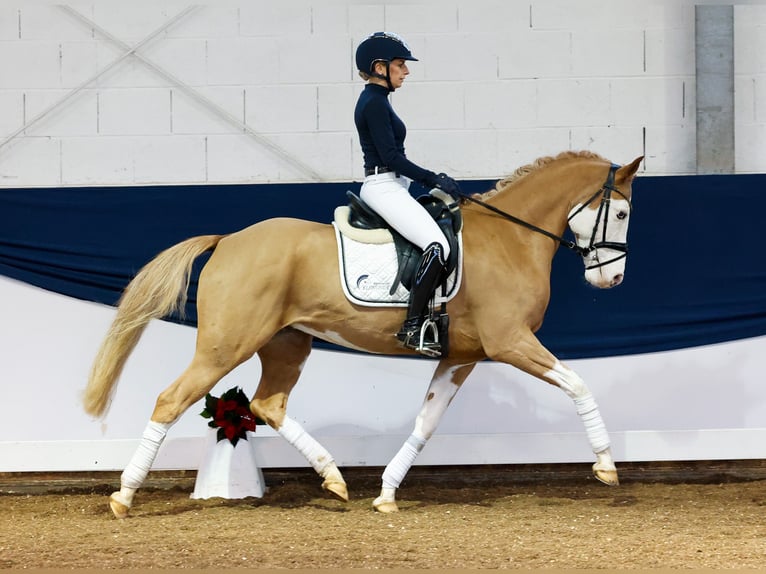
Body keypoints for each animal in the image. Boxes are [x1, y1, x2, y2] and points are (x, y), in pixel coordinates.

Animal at [82, 151, 648, 520]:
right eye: (621, 212)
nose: (613, 280)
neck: (512, 238)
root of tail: (228, 240)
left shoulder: (462, 357)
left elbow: (426, 422)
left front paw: (388, 493)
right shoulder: (510, 343)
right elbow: (578, 385)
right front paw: (606, 467)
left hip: (287, 343)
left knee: (268, 405)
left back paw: (333, 477)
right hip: (226, 345)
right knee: (171, 399)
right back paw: (124, 496)